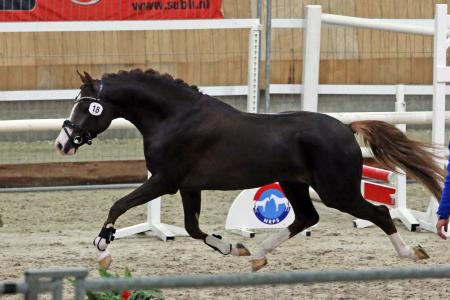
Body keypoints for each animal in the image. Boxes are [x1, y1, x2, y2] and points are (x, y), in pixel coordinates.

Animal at [54, 69, 444, 270]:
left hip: (337, 190)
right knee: (307, 218)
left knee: (379, 213)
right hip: (295, 184)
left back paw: (411, 253)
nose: (62, 143)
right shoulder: (187, 186)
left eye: (87, 106)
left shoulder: (165, 181)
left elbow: (119, 204)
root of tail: (346, 128)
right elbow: (192, 228)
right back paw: (257, 255)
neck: (175, 118)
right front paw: (232, 248)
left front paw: (103, 247)